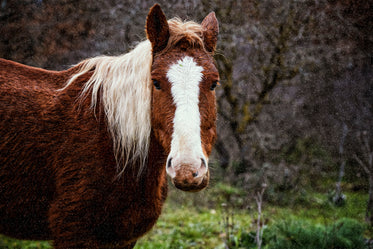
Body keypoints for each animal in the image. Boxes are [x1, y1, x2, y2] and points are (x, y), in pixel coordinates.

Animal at [0, 4, 219, 249]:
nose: (187, 169)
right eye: (155, 83)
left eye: (214, 83)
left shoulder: (123, 239)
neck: (114, 144)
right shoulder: (73, 235)